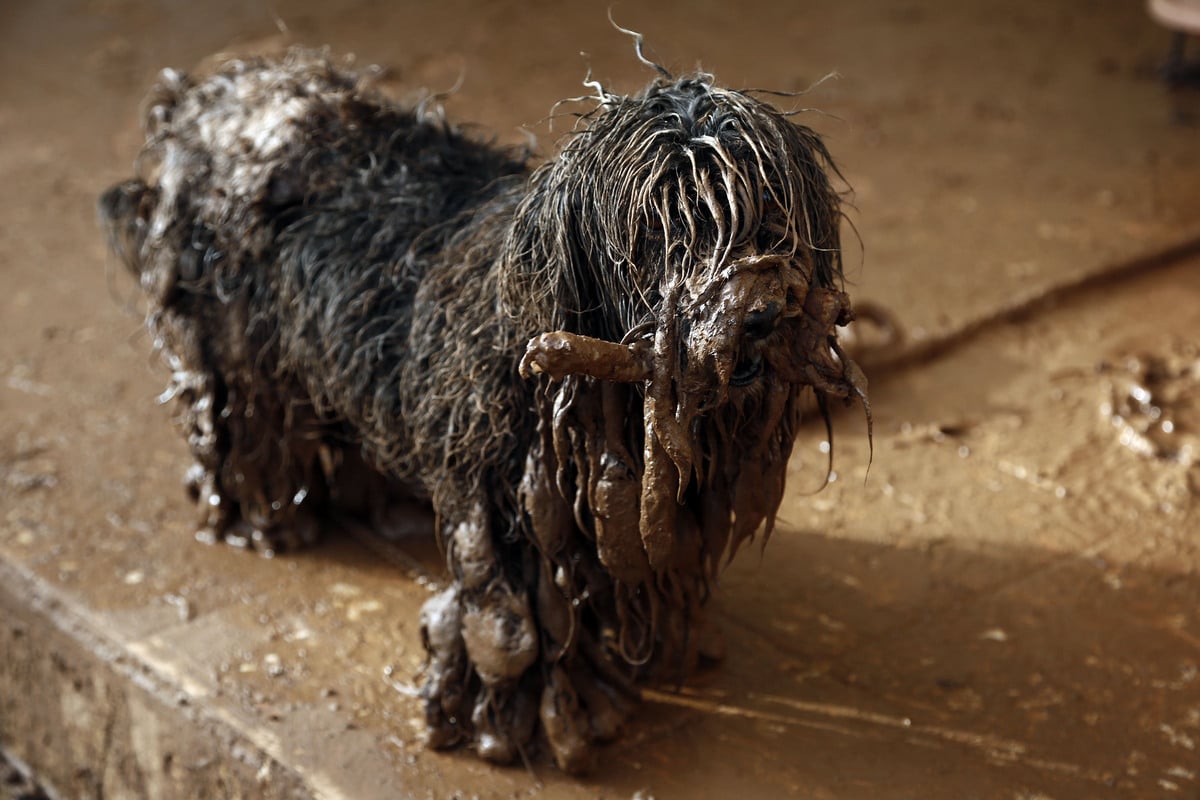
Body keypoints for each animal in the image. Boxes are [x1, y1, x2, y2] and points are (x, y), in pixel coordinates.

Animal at [98, 47, 868, 772]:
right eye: (662, 226)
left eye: (770, 210)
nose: (760, 314)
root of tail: (210, 92)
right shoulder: (500, 502)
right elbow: (513, 629)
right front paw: (520, 727)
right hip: (236, 351)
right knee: (246, 434)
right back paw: (268, 525)